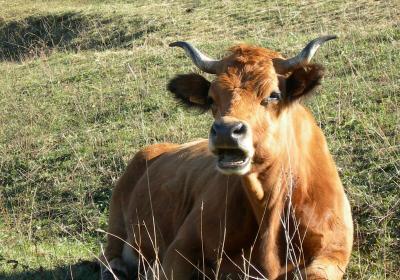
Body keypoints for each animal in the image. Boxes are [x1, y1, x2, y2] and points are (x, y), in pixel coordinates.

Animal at [99, 37, 354, 280]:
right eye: (212, 99)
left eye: (273, 95)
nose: (225, 130)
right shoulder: (180, 247)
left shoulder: (333, 254)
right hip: (116, 220)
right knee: (108, 254)